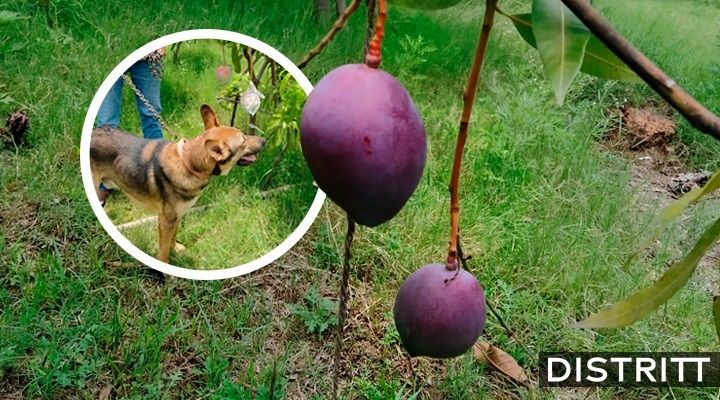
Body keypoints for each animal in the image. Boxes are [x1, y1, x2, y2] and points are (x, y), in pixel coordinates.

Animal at [91, 104, 266, 264]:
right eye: (243, 140)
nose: (264, 140)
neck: (188, 164)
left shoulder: (178, 215)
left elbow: (173, 236)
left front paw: (175, 249)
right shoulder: (165, 220)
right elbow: (163, 250)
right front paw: (166, 268)